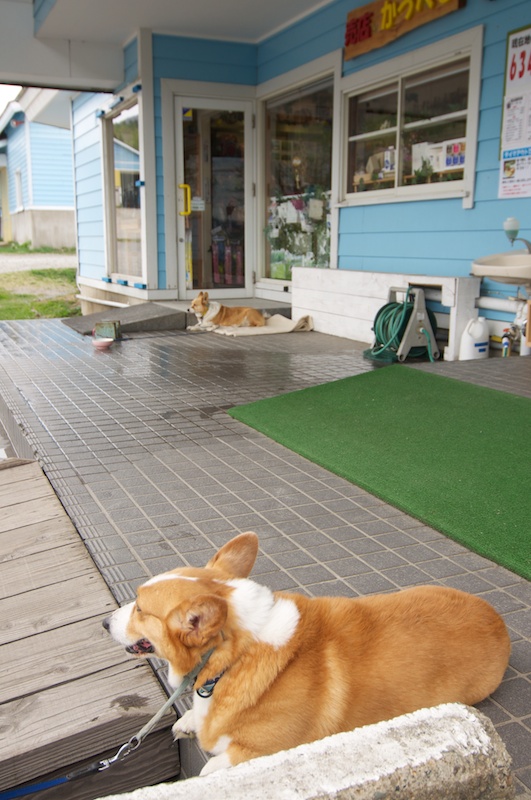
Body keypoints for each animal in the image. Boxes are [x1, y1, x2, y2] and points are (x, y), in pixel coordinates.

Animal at [103, 532, 510, 776]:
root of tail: (499, 622)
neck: (233, 659)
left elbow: (210, 769)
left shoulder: (266, 750)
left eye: (140, 608)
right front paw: (190, 721)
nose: (105, 623)